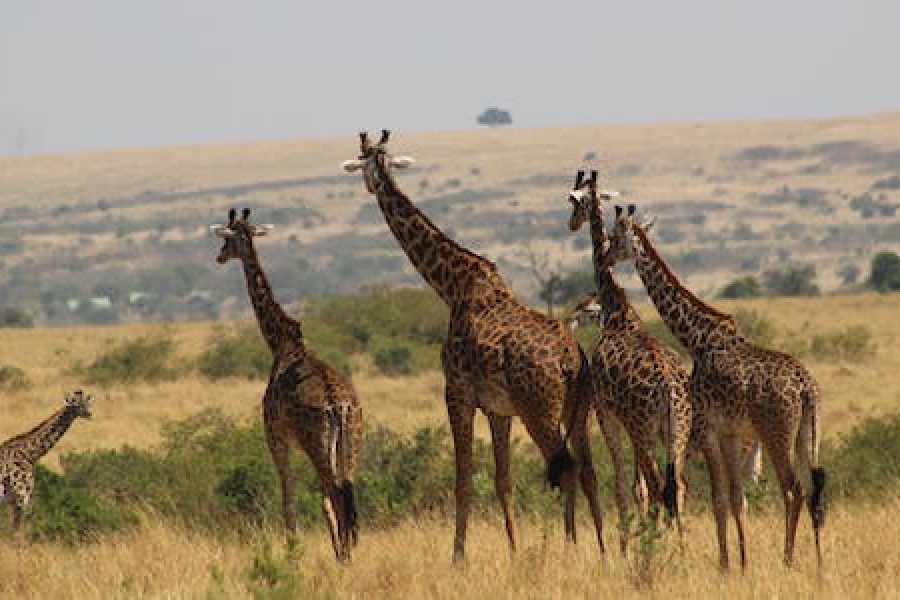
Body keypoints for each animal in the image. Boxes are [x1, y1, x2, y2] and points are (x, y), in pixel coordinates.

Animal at [1, 394, 92, 536]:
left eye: (86, 403)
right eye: (74, 404)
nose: (88, 414)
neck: (28, 454)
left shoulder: (12, 499)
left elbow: (15, 529)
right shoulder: (23, 494)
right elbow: (20, 531)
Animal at [211, 207, 362, 564]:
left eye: (227, 240)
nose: (219, 257)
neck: (281, 342)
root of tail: (339, 404)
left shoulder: (276, 437)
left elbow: (288, 500)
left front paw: (292, 553)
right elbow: (320, 503)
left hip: (316, 443)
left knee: (338, 495)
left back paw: (344, 559)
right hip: (351, 440)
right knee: (348, 493)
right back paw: (348, 554)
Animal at [344, 131, 604, 564]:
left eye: (363, 161)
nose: (367, 186)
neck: (451, 286)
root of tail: (573, 359)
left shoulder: (457, 393)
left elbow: (463, 481)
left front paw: (458, 558)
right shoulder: (499, 409)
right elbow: (503, 481)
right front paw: (514, 551)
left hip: (540, 411)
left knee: (565, 468)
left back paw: (570, 548)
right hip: (577, 409)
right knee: (587, 469)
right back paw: (602, 547)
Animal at [568, 170, 692, 552]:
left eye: (575, 202)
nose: (571, 224)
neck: (616, 310)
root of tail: (668, 389)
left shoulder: (605, 412)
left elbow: (624, 485)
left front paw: (624, 546)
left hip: (642, 428)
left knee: (656, 485)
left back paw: (653, 550)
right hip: (676, 431)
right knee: (677, 487)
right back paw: (681, 549)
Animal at [600, 204, 828, 568]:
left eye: (615, 235)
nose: (605, 259)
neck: (697, 338)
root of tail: (807, 388)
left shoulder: (708, 428)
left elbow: (718, 498)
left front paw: (725, 563)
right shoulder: (730, 432)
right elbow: (735, 498)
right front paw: (740, 562)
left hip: (776, 432)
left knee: (792, 489)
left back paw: (787, 558)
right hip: (808, 429)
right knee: (814, 489)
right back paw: (819, 563)